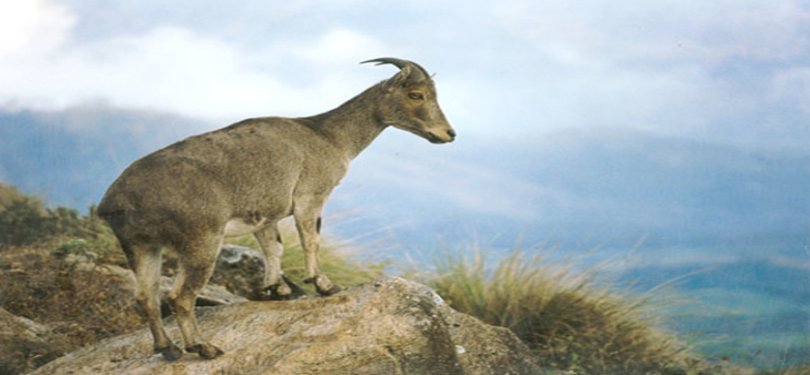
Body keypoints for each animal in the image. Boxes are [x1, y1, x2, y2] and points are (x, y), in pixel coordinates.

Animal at [96, 58, 454, 362]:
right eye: (416, 94)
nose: (448, 134)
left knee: (146, 297)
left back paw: (167, 349)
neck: (329, 136)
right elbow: (310, 240)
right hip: (200, 240)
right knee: (179, 297)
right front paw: (324, 285)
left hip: (141, 245)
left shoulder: (265, 213)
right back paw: (203, 347)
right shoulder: (311, 196)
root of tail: (117, 201)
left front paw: (276, 290)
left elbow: (273, 247)